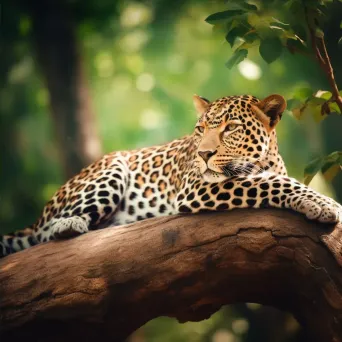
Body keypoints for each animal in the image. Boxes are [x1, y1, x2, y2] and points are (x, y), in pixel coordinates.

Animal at [1, 93, 340, 256]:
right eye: (200, 129)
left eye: (231, 128)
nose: (203, 154)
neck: (264, 159)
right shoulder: (196, 187)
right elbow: (271, 182)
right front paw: (323, 203)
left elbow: (270, 179)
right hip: (111, 169)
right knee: (48, 233)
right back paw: (70, 224)